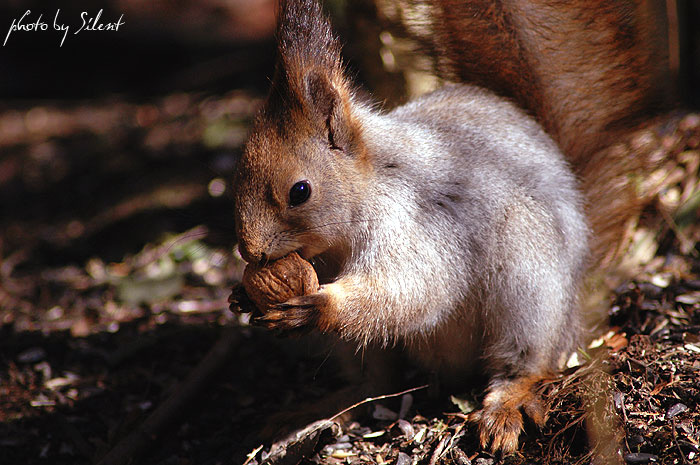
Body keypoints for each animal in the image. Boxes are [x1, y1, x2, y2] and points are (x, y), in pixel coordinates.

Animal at [232, 0, 672, 454]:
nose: (250, 251)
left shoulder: (414, 225)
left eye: (300, 191)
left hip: (529, 277)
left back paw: (506, 404)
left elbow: (414, 289)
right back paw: (321, 410)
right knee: (375, 382)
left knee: (526, 361)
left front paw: (320, 306)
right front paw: (243, 297)